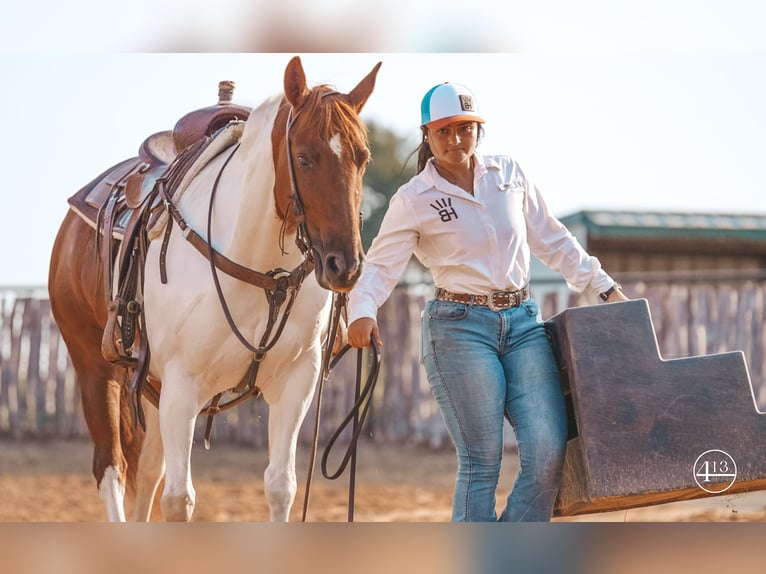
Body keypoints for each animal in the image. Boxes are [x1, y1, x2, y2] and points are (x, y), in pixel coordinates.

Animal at [47, 57, 380, 520]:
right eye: (303, 158)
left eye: (363, 158)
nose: (345, 266)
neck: (261, 270)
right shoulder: (182, 384)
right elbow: (178, 499)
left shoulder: (296, 381)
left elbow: (281, 487)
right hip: (96, 369)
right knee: (111, 468)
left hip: (149, 385)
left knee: (146, 471)